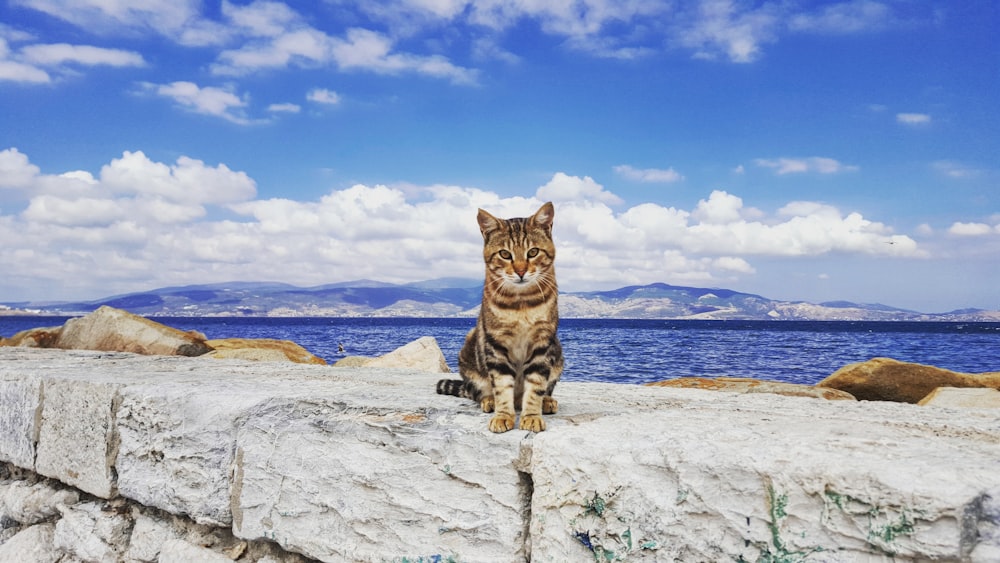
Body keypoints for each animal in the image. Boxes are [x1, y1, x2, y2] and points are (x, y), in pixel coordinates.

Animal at [436, 202, 568, 432]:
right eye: (505, 254)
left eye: (533, 252)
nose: (521, 271)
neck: (521, 303)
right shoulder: (496, 343)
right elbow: (501, 385)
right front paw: (503, 415)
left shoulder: (543, 342)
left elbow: (536, 385)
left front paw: (532, 415)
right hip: (469, 348)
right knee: (478, 390)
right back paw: (489, 400)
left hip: (558, 352)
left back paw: (547, 401)